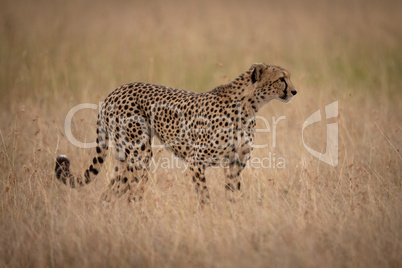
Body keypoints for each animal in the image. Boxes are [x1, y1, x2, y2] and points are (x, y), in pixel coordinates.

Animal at [55, 63, 296, 204]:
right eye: (281, 79)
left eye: (288, 77)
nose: (294, 91)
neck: (249, 106)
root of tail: (115, 91)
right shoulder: (196, 160)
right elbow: (204, 196)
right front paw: (208, 218)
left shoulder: (236, 162)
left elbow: (232, 195)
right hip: (140, 154)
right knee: (132, 192)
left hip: (124, 157)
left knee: (110, 192)